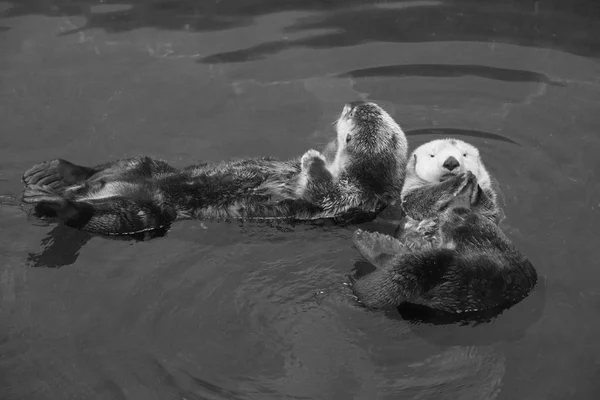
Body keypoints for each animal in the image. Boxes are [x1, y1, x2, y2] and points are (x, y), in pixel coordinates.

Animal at [21, 101, 410, 236]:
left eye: (353, 121)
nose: (351, 103)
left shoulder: (349, 198)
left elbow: (321, 190)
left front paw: (312, 160)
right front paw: (316, 154)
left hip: (148, 213)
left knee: (101, 217)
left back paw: (53, 200)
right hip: (141, 165)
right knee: (108, 168)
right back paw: (54, 172)